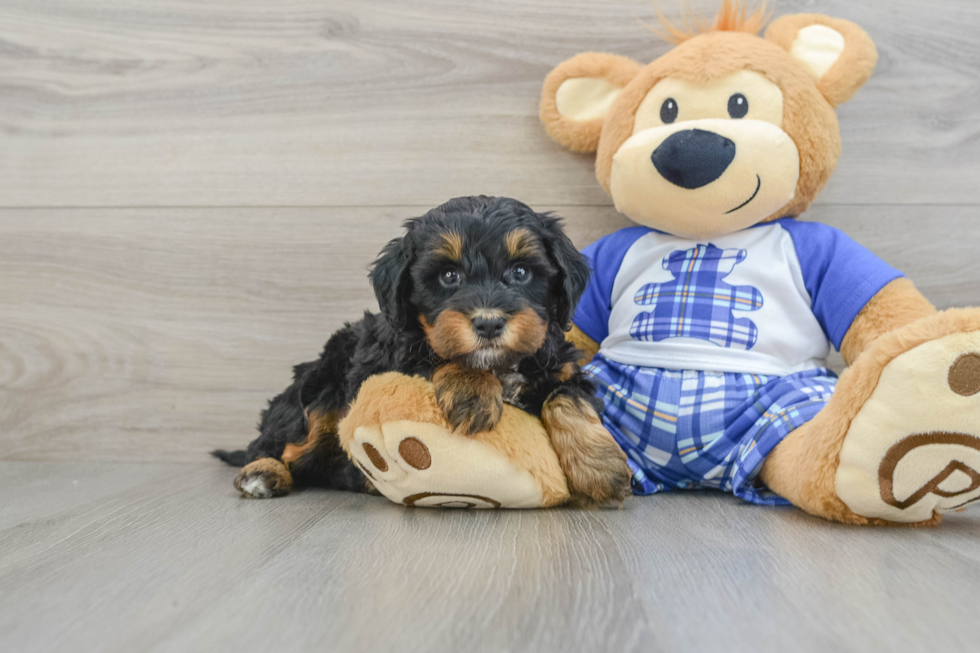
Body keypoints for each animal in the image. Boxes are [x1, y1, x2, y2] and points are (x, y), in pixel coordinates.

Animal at [211, 196, 632, 506]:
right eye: (448, 276)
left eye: (521, 273)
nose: (489, 323)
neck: (498, 365)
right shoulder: (392, 359)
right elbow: (435, 356)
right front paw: (472, 390)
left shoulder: (560, 366)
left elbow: (568, 399)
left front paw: (601, 468)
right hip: (320, 387)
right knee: (284, 439)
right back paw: (262, 473)